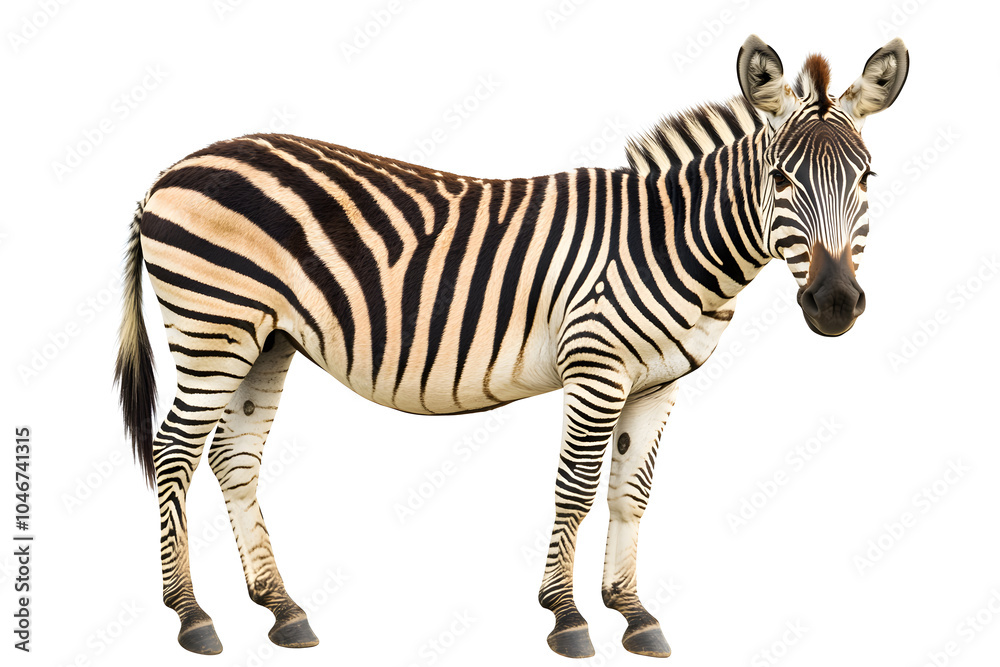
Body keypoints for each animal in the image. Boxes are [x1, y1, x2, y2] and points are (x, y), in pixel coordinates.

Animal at [115, 35, 908, 658]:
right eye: (781, 177)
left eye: (868, 177)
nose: (835, 303)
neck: (670, 239)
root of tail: (170, 169)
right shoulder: (596, 367)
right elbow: (577, 489)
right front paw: (567, 617)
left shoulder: (657, 382)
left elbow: (631, 494)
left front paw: (634, 614)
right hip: (213, 326)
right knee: (174, 451)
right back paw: (191, 615)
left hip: (265, 338)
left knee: (234, 458)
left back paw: (281, 608)